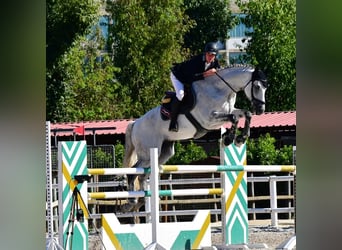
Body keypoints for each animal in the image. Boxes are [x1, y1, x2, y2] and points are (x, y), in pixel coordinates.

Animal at [121, 65, 268, 213]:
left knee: (142, 174)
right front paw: (230, 138)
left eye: (265, 88)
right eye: (257, 86)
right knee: (133, 172)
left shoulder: (229, 112)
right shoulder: (209, 119)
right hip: (148, 152)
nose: (260, 110)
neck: (220, 89)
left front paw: (239, 139)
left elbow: (244, 114)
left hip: (163, 153)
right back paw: (131, 201)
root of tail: (135, 123)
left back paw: (140, 201)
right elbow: (233, 118)